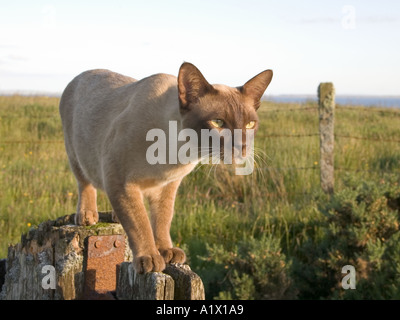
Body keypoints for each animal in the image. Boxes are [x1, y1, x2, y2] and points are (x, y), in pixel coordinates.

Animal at [58, 62, 272, 272]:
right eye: (218, 122)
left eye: (250, 124)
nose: (241, 147)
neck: (177, 155)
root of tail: (81, 75)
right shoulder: (119, 179)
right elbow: (139, 223)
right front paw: (150, 258)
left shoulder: (167, 186)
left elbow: (162, 220)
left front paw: (165, 251)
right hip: (77, 156)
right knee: (85, 184)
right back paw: (87, 215)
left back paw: (115, 216)